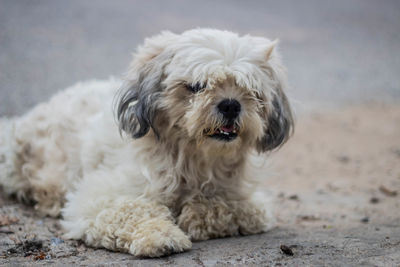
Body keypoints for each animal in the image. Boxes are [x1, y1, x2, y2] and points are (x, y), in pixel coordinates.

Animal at [0, 28, 294, 258]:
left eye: (251, 90)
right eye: (197, 86)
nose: (230, 105)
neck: (191, 160)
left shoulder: (252, 204)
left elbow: (226, 208)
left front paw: (195, 215)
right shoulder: (95, 196)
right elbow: (132, 208)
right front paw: (160, 235)